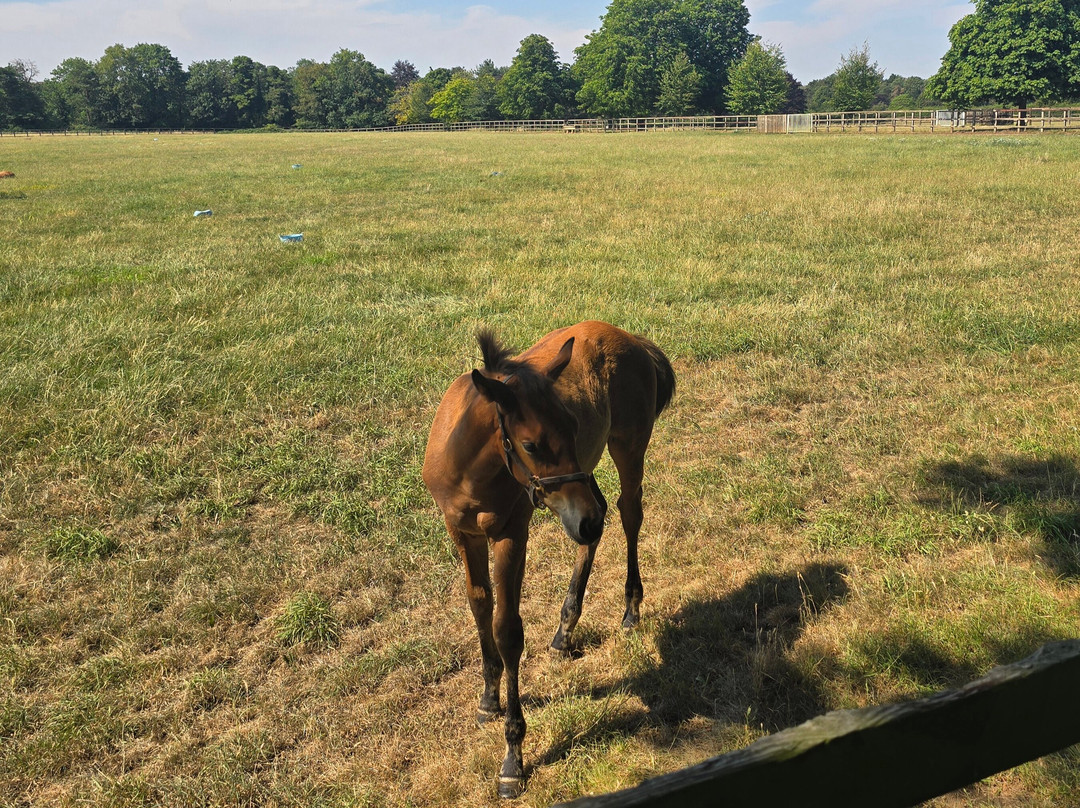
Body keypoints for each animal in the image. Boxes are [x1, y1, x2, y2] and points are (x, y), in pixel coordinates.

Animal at [422, 320, 675, 798]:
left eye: (573, 425)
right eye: (530, 444)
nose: (585, 521)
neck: (472, 471)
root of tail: (633, 339)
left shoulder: (510, 533)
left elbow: (507, 630)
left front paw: (512, 759)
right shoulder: (461, 533)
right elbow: (479, 603)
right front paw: (489, 698)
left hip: (627, 448)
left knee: (625, 513)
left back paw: (631, 608)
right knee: (600, 519)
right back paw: (564, 629)